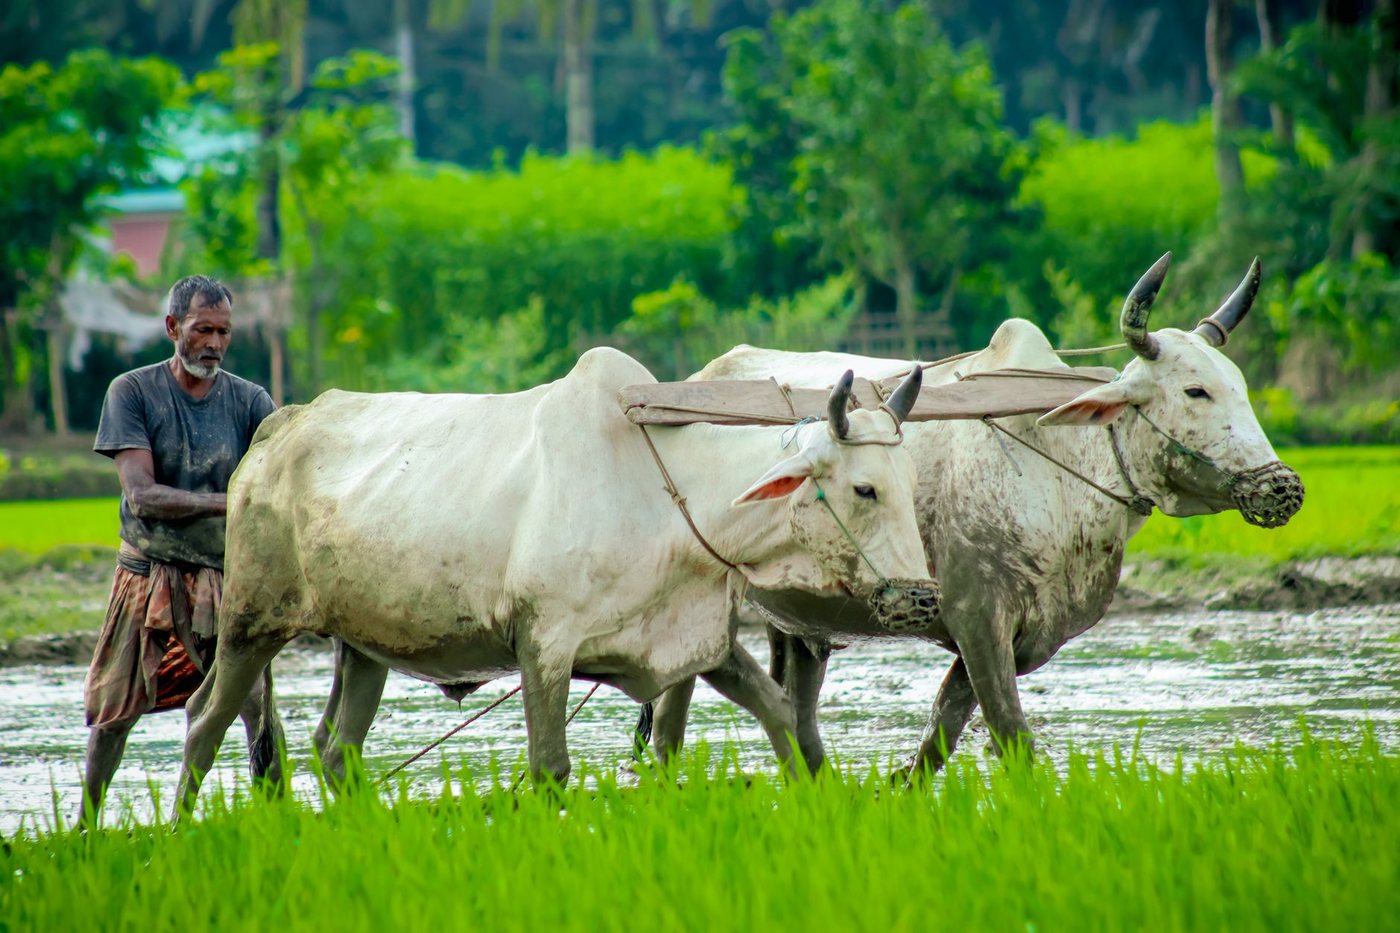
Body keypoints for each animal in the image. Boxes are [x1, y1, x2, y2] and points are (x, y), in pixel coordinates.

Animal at [173, 346, 936, 810]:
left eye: (907, 481)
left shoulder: (700, 642)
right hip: (252, 621)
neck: (664, 494)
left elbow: (783, 717)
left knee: (336, 750)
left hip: (362, 645)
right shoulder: (544, 645)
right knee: (205, 722)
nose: (921, 596)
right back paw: (182, 829)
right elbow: (550, 767)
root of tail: (278, 427)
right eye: (865, 489)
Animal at [647, 255, 1304, 774]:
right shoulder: (978, 618)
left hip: (801, 627)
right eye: (1196, 391)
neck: (1059, 471)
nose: (1283, 488)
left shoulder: (1005, 640)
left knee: (797, 717)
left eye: (1240, 385)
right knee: (672, 723)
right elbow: (1010, 737)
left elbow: (939, 737)